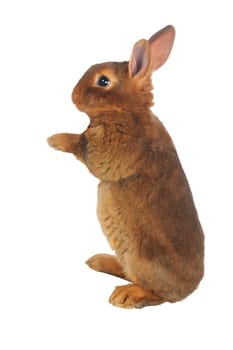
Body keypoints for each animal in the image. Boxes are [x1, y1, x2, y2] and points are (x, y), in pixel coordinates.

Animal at [47, 25, 204, 308]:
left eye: (103, 81)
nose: (73, 96)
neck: (127, 111)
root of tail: (190, 288)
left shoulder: (111, 148)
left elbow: (82, 145)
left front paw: (55, 139)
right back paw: (99, 261)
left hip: (142, 257)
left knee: (157, 294)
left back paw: (126, 294)